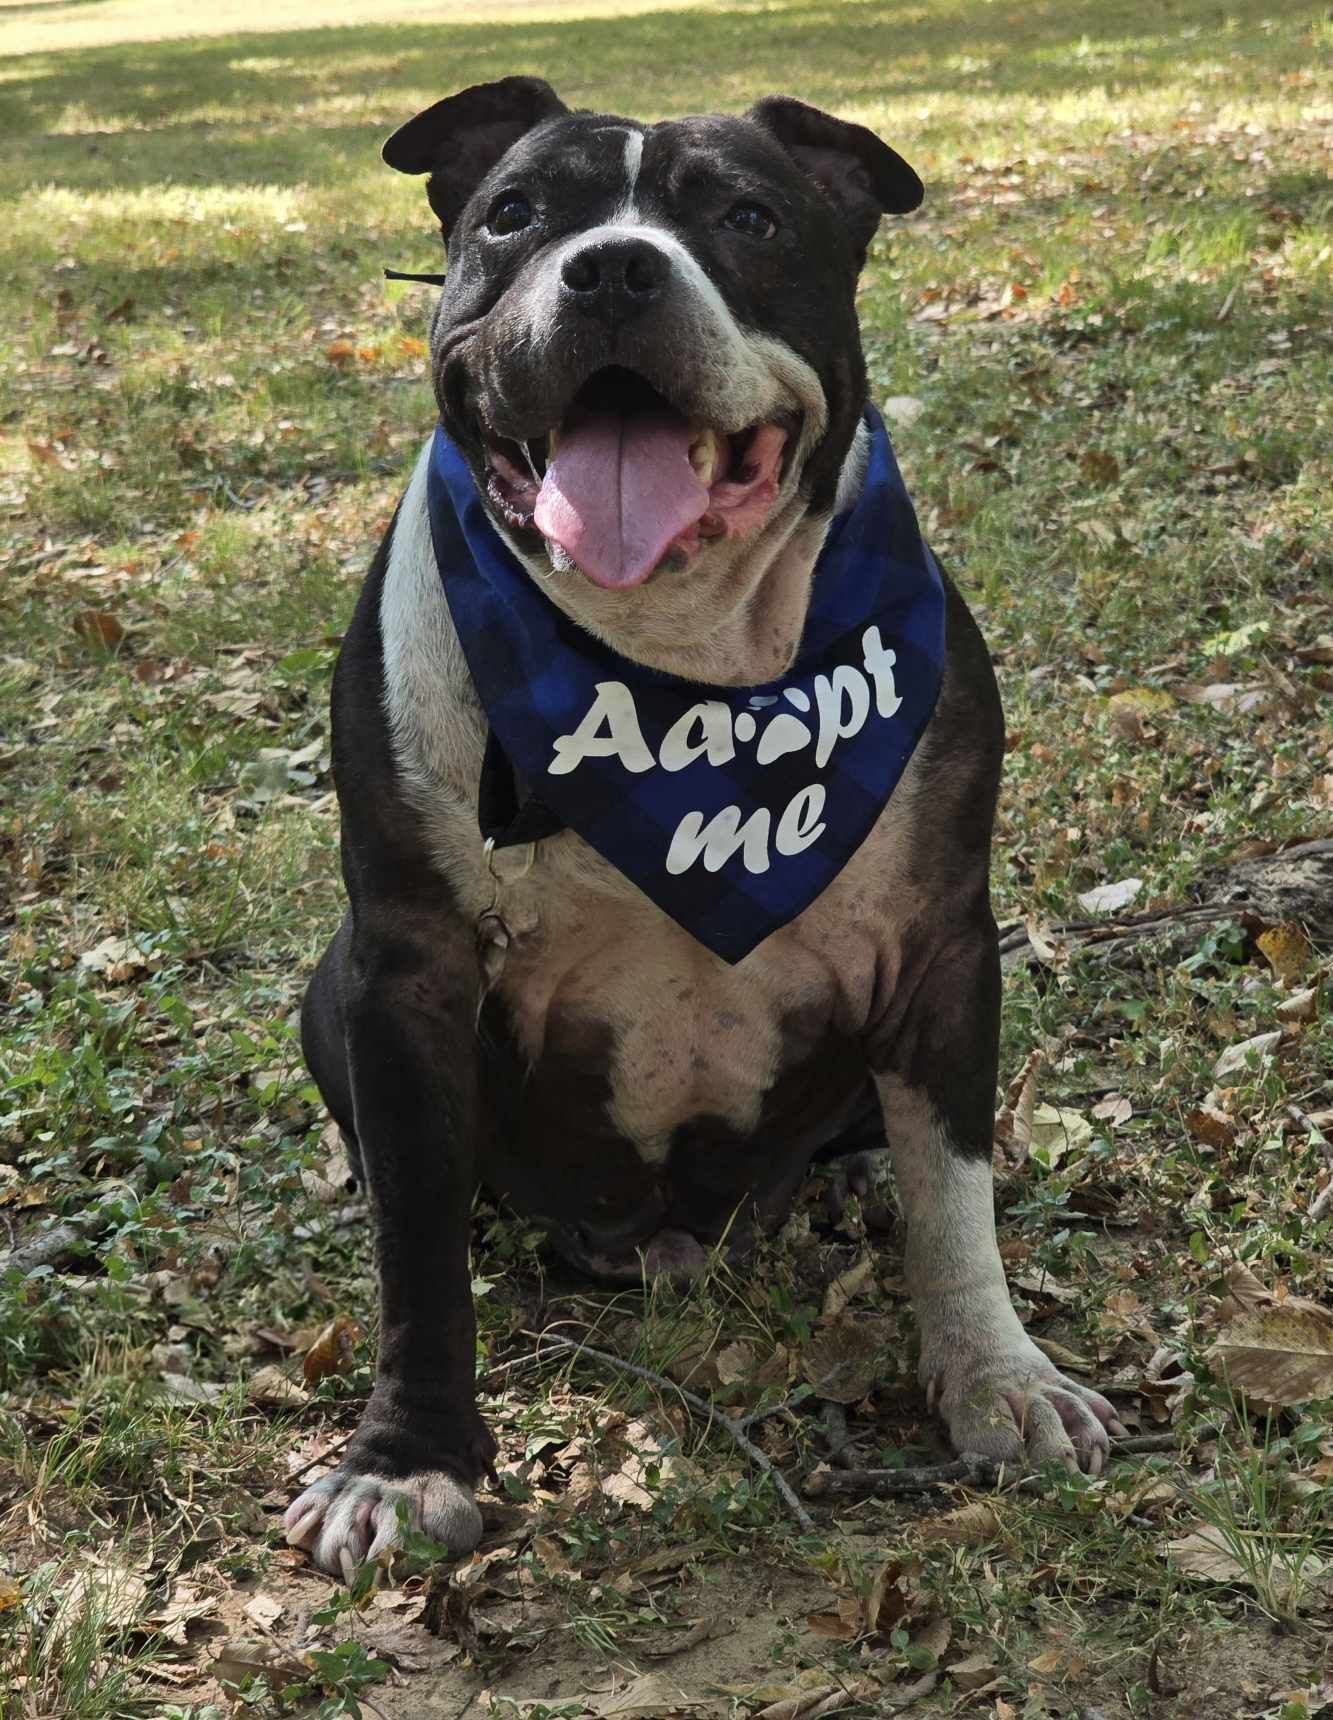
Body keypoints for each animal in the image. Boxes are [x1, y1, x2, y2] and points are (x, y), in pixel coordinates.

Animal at [283, 83, 1128, 1582]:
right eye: (514, 212)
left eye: (748, 216)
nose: (615, 269)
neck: (670, 665)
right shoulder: (408, 972)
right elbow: (418, 1249)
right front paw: (406, 1458)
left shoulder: (942, 948)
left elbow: (954, 1193)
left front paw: (997, 1374)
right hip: (336, 991)